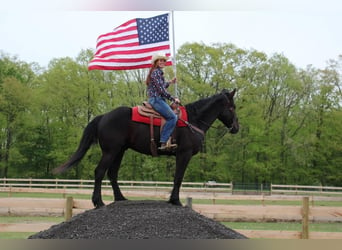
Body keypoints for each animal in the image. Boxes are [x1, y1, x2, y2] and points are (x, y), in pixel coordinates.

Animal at [54, 89, 240, 208]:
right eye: (232, 107)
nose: (236, 128)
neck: (192, 120)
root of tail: (103, 116)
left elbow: (177, 177)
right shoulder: (184, 154)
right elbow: (178, 177)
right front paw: (175, 200)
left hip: (120, 151)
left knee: (112, 174)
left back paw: (120, 198)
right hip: (110, 151)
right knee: (100, 172)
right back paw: (98, 202)